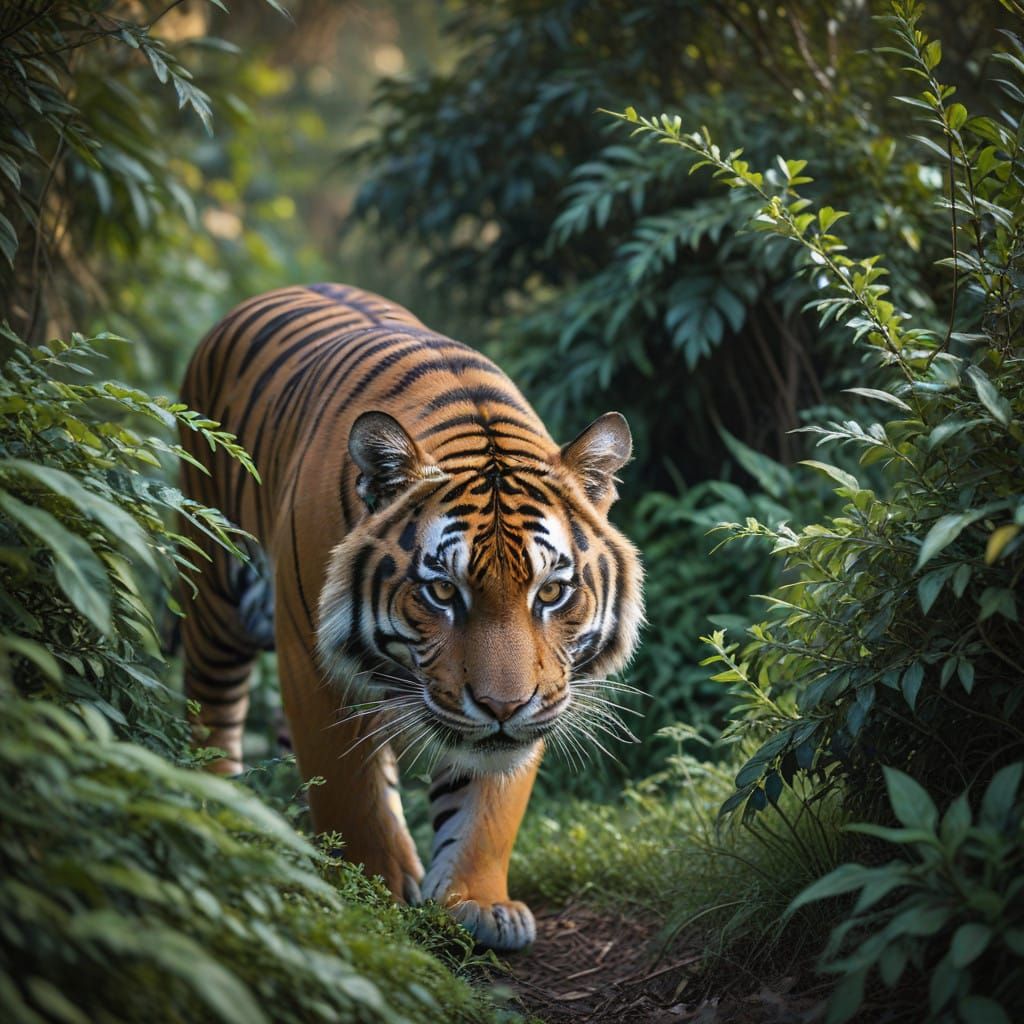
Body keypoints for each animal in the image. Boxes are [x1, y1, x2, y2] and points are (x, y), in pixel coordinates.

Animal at [178, 283, 644, 951]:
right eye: (443, 592)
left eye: (551, 592)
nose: (503, 707)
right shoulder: (313, 664)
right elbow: (352, 793)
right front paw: (373, 899)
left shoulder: (545, 690)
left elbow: (489, 800)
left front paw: (478, 902)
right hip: (216, 588)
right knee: (212, 704)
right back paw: (217, 806)